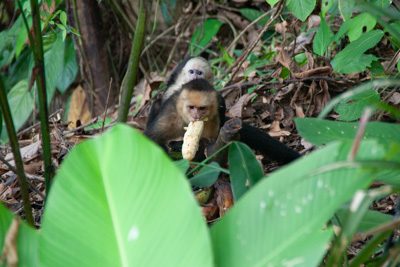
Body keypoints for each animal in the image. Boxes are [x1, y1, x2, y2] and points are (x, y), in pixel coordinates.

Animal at [146, 57, 300, 164]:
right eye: (191, 71)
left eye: (199, 72)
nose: (194, 76)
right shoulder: (173, 109)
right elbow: (153, 137)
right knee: (157, 104)